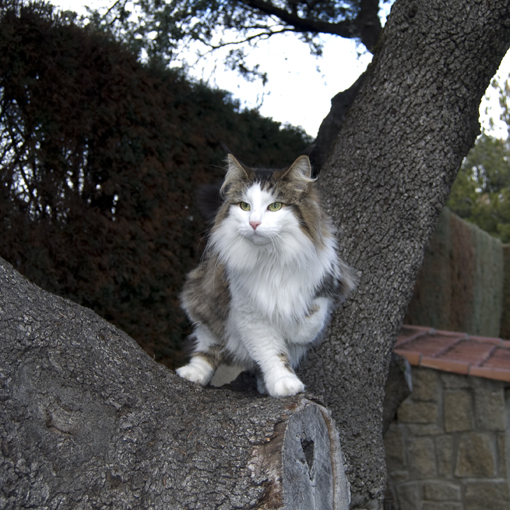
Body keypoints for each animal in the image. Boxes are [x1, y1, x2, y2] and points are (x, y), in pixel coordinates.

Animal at [175, 151, 354, 398]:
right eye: (244, 206)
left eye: (275, 206)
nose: (254, 223)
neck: (271, 258)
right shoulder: (250, 313)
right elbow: (272, 353)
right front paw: (284, 384)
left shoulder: (330, 279)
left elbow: (312, 320)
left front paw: (295, 333)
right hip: (203, 299)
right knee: (208, 346)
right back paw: (194, 372)